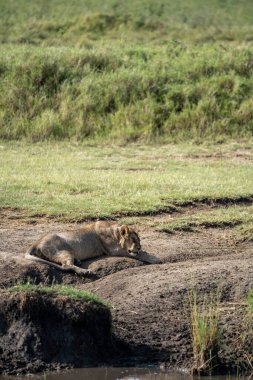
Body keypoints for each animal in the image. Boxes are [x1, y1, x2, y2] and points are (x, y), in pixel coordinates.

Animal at [25, 220, 160, 276]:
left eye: (139, 240)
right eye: (133, 239)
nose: (138, 247)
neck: (115, 232)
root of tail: (36, 242)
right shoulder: (113, 250)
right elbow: (140, 254)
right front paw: (155, 258)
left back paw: (78, 261)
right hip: (62, 251)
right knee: (66, 266)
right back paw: (85, 271)